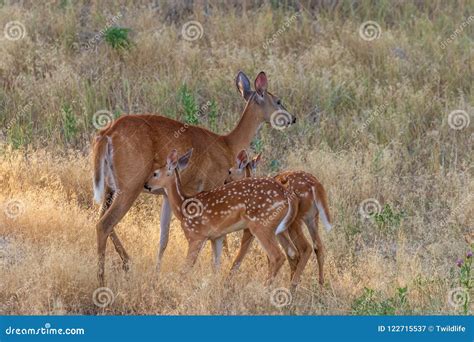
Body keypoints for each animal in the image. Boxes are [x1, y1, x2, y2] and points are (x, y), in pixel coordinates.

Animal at [145, 148, 300, 284]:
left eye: (155, 173)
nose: (146, 185)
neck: (183, 206)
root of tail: (287, 195)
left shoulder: (196, 236)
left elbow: (186, 268)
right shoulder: (216, 237)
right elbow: (216, 267)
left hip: (262, 225)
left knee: (277, 256)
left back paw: (266, 288)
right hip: (279, 228)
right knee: (293, 253)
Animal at [227, 151, 334, 284]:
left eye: (230, 171)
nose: (225, 182)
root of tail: (315, 184)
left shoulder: (251, 227)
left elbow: (243, 254)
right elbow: (286, 255)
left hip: (295, 221)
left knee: (305, 248)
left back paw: (292, 284)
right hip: (312, 217)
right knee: (318, 246)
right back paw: (320, 284)